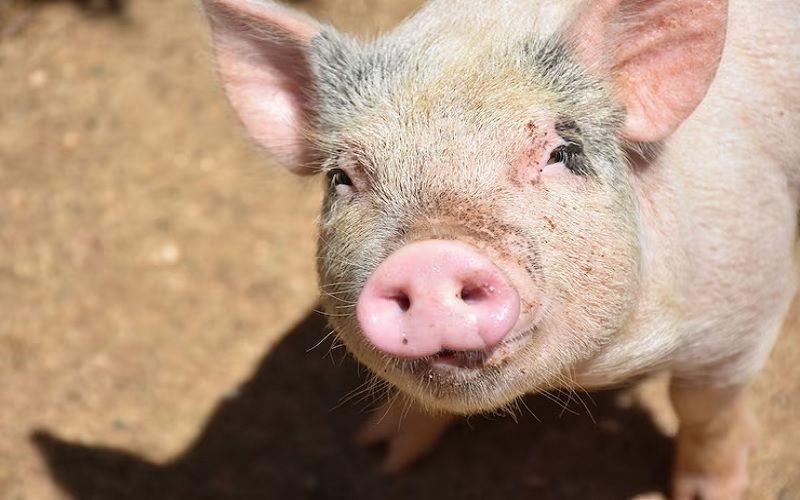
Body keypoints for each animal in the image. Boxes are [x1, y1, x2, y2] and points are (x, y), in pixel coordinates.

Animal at [199, 0, 800, 498]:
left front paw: (711, 493)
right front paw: (381, 455)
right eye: (342, 178)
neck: (584, 373)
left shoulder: (743, 310)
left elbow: (704, 411)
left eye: (563, 153)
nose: (430, 256)